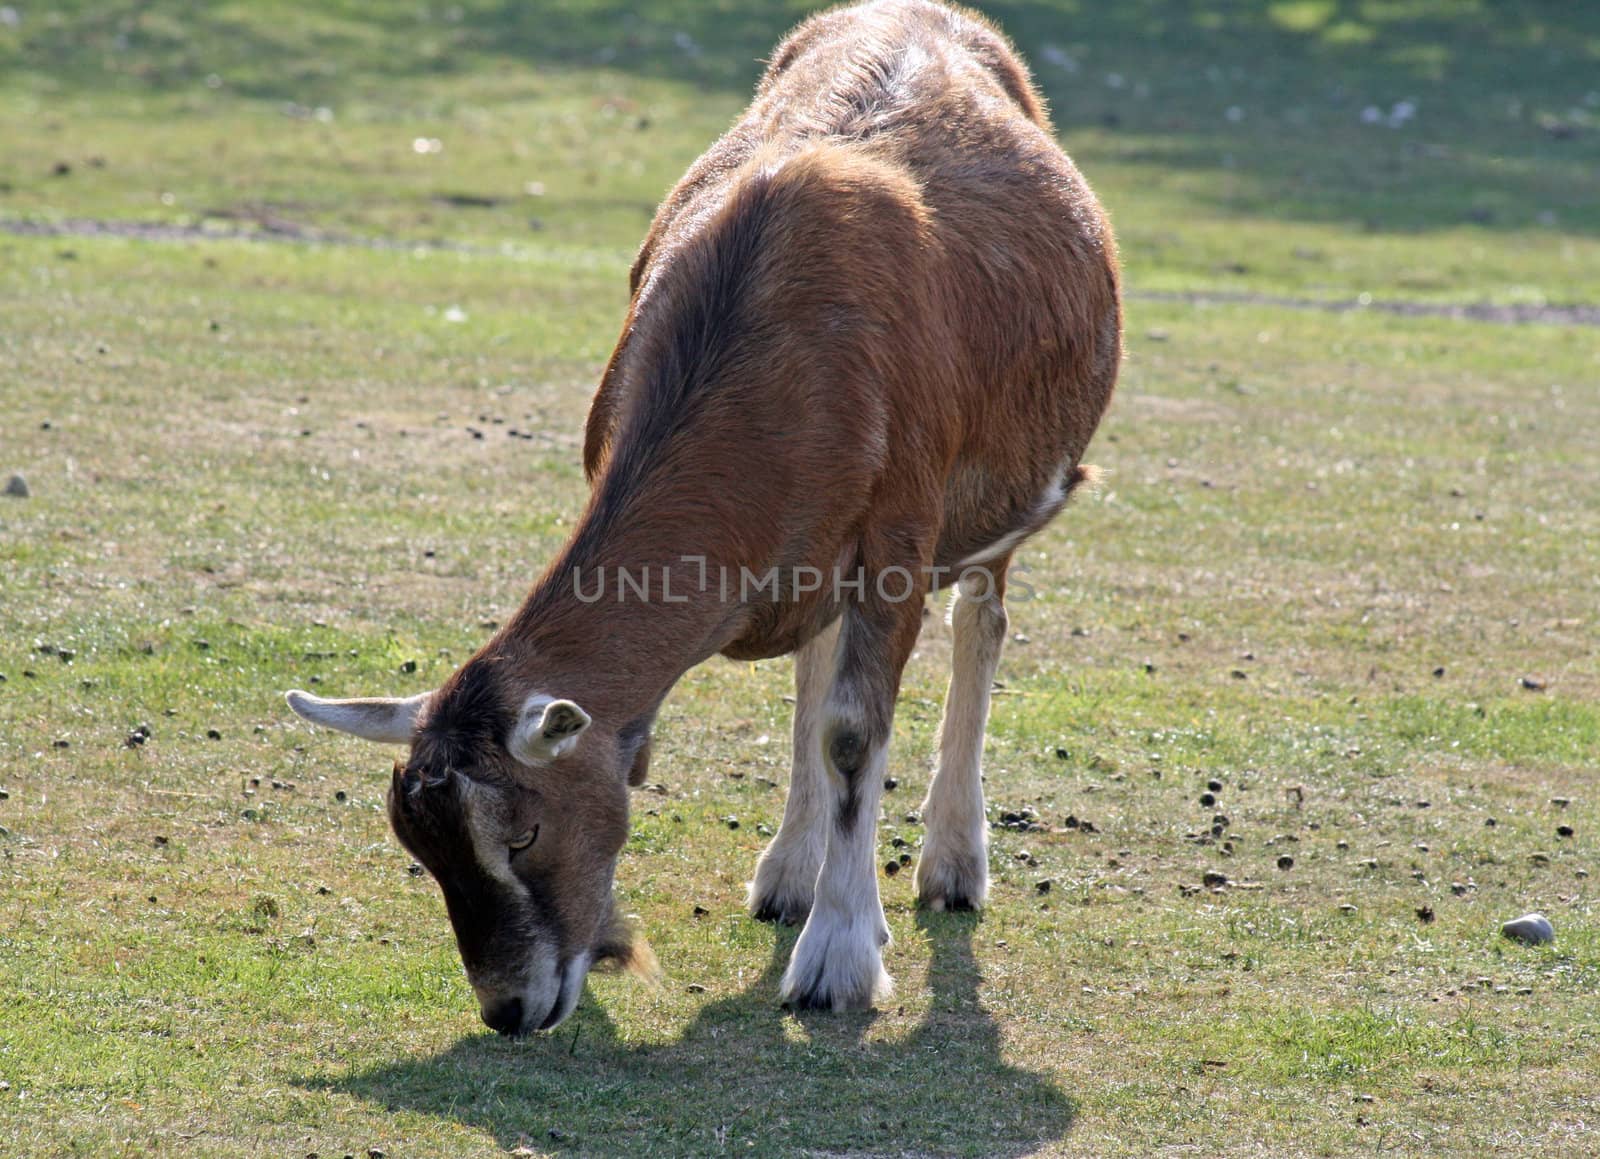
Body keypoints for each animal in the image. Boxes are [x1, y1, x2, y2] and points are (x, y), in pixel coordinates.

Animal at [288, 0, 1120, 1030]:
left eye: (522, 834)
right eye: (420, 846)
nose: (509, 1006)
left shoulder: (901, 530)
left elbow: (855, 731)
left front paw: (839, 959)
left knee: (982, 619)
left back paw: (954, 864)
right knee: (816, 657)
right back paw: (788, 873)